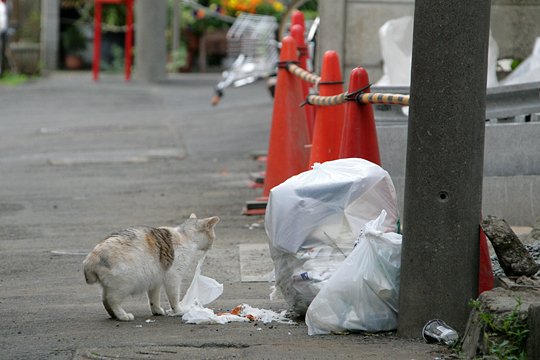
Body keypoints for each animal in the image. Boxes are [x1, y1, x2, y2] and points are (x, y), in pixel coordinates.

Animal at [83, 214, 218, 320]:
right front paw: (178, 311)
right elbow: (174, 298)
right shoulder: (173, 278)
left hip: (108, 286)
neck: (184, 236)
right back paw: (123, 315)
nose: (212, 245)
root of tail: (93, 256)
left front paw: (157, 310)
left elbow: (154, 298)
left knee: (105, 300)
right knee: (112, 300)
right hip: (124, 285)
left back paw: (113, 315)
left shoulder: (155, 281)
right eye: (213, 235)